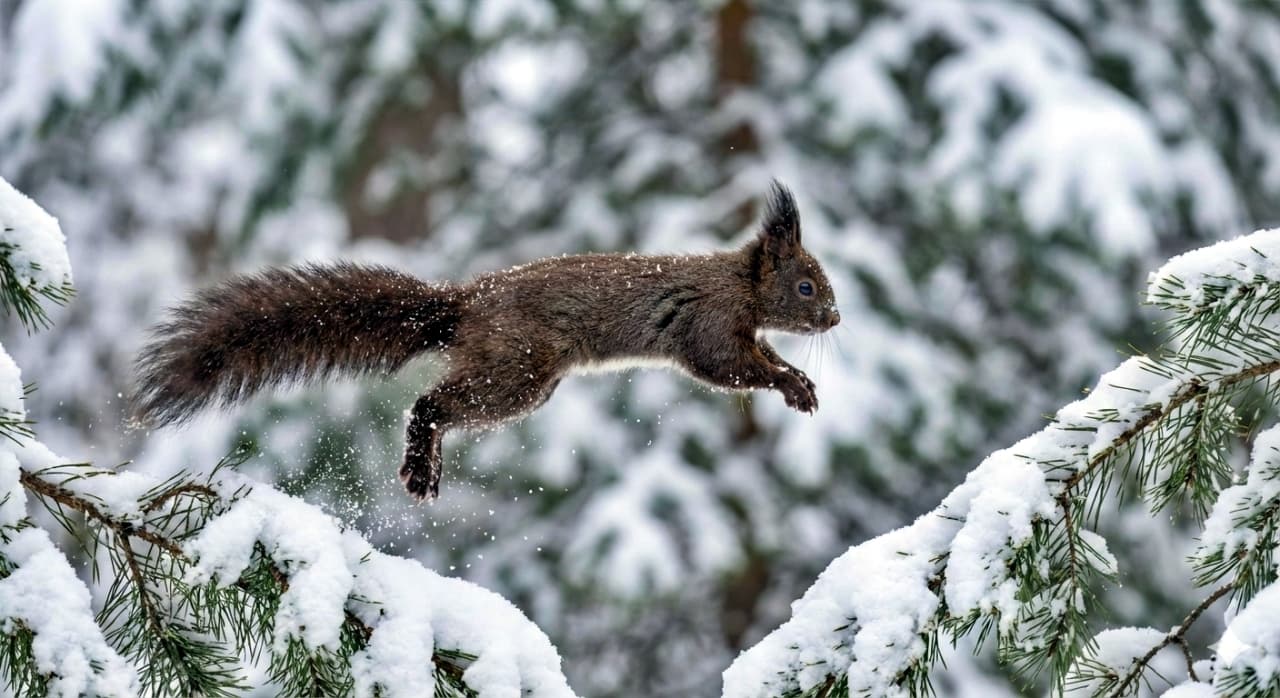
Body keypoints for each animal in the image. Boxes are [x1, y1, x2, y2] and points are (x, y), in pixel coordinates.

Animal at [132, 181, 840, 501]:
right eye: (806, 286)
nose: (834, 318)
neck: (740, 284)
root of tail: (462, 306)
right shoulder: (710, 326)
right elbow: (728, 366)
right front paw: (790, 383)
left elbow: (762, 356)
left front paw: (802, 383)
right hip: (516, 370)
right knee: (431, 405)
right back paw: (421, 464)